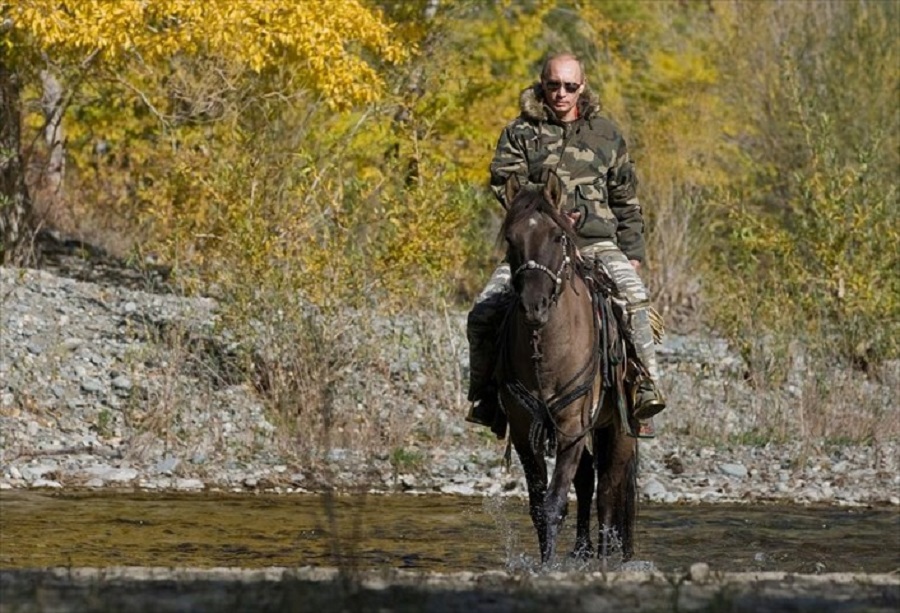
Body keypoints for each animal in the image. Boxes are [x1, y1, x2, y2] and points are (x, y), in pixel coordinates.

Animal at [492, 171, 640, 564]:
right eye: (511, 238)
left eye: (558, 236)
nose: (535, 305)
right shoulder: (526, 430)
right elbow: (538, 505)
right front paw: (546, 562)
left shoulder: (573, 425)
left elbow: (556, 502)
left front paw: (548, 567)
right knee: (588, 481)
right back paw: (582, 552)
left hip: (619, 430)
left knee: (608, 490)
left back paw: (603, 558)